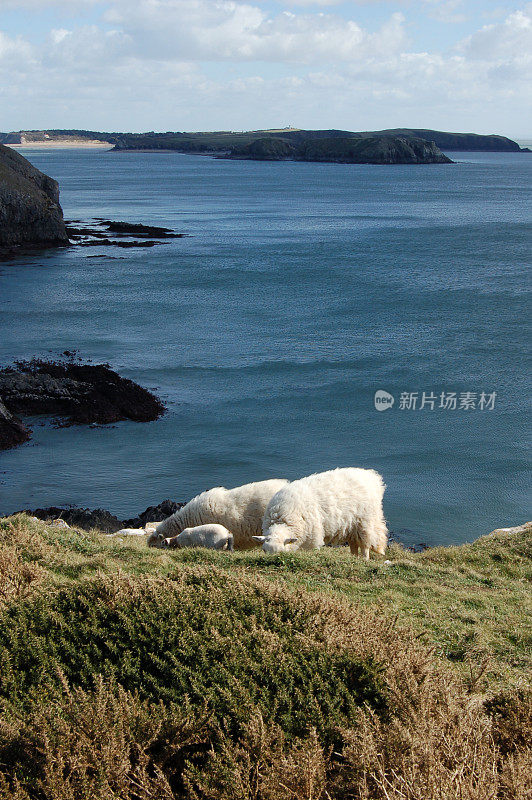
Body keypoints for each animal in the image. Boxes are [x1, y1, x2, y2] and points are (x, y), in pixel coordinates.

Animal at [254, 466, 386, 560]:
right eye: (264, 550)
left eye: (280, 552)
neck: (283, 518)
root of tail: (371, 476)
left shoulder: (312, 538)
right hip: (351, 526)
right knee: (354, 544)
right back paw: (354, 558)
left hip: (364, 522)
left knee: (365, 544)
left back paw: (364, 559)